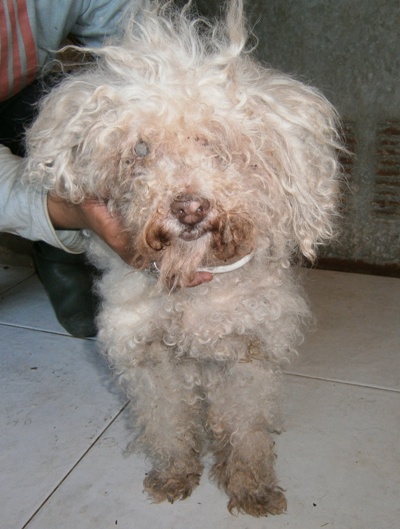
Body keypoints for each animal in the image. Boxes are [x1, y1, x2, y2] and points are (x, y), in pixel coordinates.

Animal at [25, 0, 340, 512]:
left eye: (214, 142)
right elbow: (168, 423)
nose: (190, 208)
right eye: (140, 148)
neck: (193, 294)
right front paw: (174, 475)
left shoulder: (246, 353)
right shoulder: (151, 359)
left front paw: (251, 486)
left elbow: (245, 428)